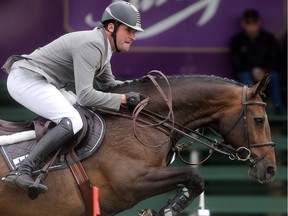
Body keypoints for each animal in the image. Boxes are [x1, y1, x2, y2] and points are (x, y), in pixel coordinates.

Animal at [0, 73, 276, 216]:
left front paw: (169, 208)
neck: (143, 119)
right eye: (259, 120)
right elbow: (194, 176)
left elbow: (191, 181)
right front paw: (168, 210)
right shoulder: (132, 183)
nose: (271, 169)